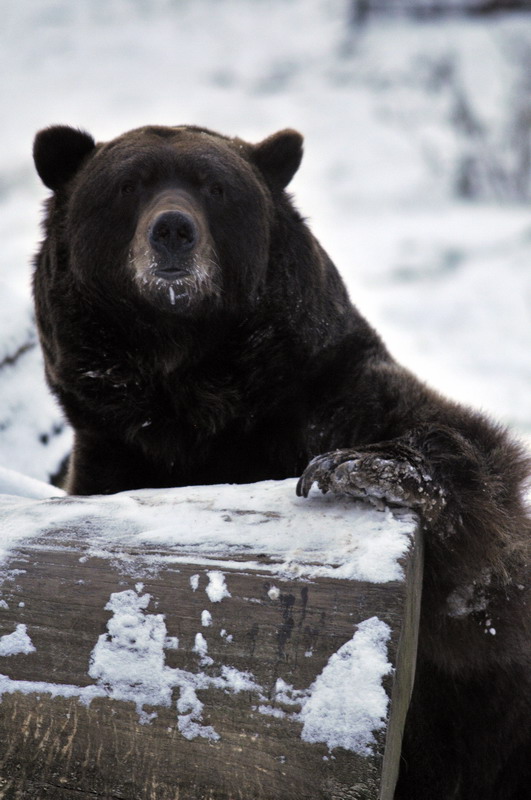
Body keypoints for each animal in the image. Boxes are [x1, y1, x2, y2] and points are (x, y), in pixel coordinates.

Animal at [32, 123, 530, 799]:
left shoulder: (326, 392)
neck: (191, 400)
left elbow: (486, 567)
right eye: (128, 185)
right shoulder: (114, 457)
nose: (173, 230)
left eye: (215, 188)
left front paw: (363, 468)